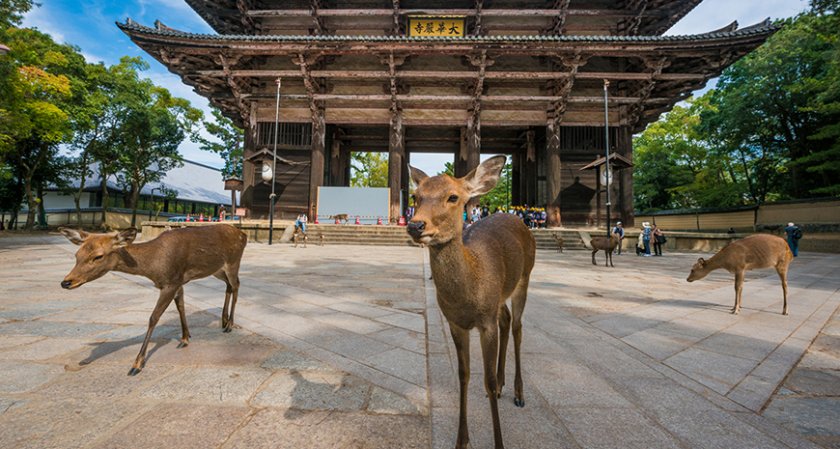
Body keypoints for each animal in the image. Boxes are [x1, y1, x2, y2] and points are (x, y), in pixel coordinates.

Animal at [59, 224, 246, 374]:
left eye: (98, 256)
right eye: (77, 254)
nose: (66, 282)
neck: (153, 266)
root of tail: (243, 234)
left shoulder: (170, 283)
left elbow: (153, 317)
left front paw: (136, 365)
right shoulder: (178, 282)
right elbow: (180, 306)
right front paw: (185, 338)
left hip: (233, 262)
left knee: (236, 284)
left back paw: (230, 324)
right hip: (217, 269)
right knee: (228, 286)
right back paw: (223, 320)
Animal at [406, 156, 536, 448]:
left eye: (453, 196)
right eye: (415, 196)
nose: (415, 225)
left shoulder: (485, 322)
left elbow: (486, 380)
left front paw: (499, 443)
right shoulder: (456, 323)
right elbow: (463, 375)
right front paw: (461, 440)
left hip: (524, 277)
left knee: (518, 327)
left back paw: (518, 393)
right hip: (499, 296)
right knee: (506, 320)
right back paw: (503, 386)